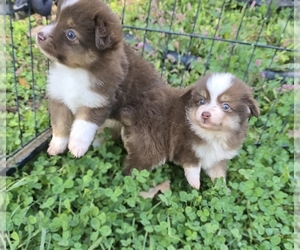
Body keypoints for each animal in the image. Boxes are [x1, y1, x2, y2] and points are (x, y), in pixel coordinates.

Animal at [36, 0, 166, 156]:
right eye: (55, 18)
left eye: (71, 34)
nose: (39, 35)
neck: (75, 71)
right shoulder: (59, 97)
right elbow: (60, 124)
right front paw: (56, 146)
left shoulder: (97, 101)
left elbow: (83, 126)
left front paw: (76, 147)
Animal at [120, 73, 258, 188]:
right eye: (201, 101)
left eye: (226, 106)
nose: (205, 114)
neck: (213, 134)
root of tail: (132, 113)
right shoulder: (186, 147)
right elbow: (193, 167)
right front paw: (195, 184)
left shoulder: (218, 158)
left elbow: (218, 174)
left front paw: (223, 190)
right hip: (151, 147)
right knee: (132, 168)